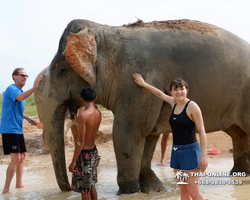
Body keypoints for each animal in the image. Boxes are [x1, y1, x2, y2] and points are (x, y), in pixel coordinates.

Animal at [43, 18, 250, 194]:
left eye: (62, 70)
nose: (69, 188)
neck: (105, 33)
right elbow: (148, 135)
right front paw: (153, 189)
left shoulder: (136, 83)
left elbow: (127, 133)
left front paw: (128, 191)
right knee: (238, 133)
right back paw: (240, 174)